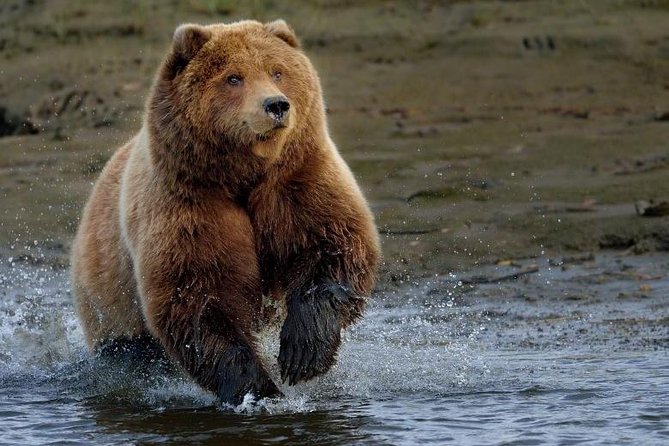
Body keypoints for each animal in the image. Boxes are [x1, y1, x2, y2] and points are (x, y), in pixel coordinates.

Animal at [70, 19, 380, 405]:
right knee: (132, 350)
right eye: (234, 77)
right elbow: (200, 296)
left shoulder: (298, 180)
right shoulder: (189, 203)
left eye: (277, 71)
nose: (276, 105)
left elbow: (333, 247)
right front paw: (259, 388)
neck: (243, 175)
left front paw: (302, 354)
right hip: (110, 301)